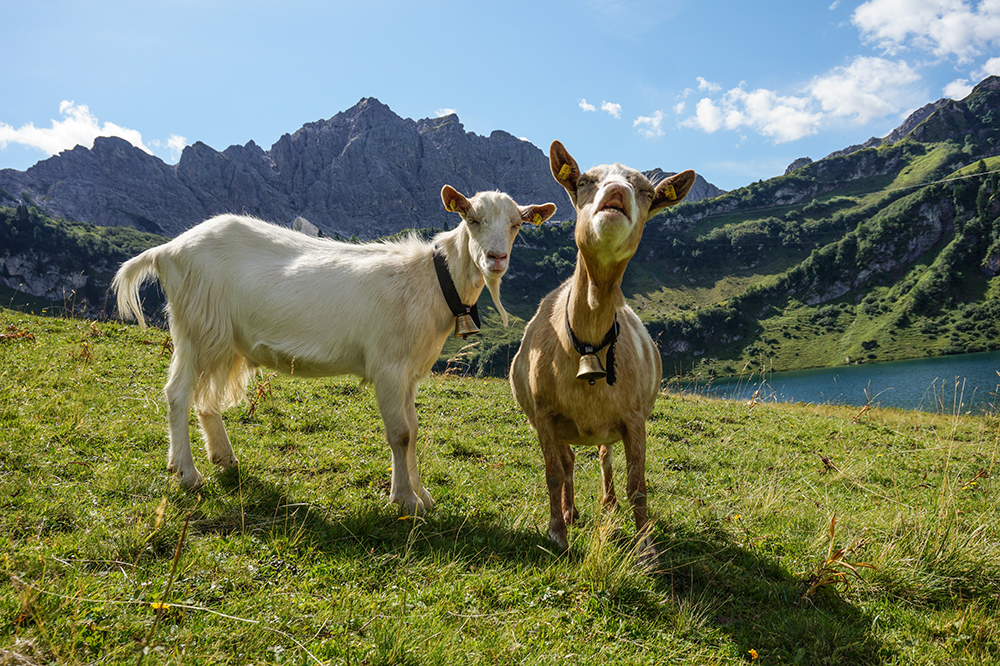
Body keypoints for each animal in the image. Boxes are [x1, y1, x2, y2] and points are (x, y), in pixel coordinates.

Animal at [115, 188, 564, 512]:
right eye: (471, 219)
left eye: (517, 225)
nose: (496, 258)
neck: (431, 280)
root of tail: (167, 251)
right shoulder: (387, 366)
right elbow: (400, 433)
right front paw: (404, 500)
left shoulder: (409, 372)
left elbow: (414, 430)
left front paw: (422, 495)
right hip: (197, 328)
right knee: (178, 393)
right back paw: (186, 472)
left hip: (224, 339)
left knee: (206, 398)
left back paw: (223, 458)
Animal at [512, 143, 692, 564]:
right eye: (583, 181)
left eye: (647, 191)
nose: (616, 193)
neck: (588, 341)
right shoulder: (544, 416)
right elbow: (553, 474)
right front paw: (557, 533)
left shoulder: (634, 418)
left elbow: (637, 484)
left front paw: (646, 547)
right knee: (568, 463)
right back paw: (570, 511)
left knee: (603, 456)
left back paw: (607, 503)